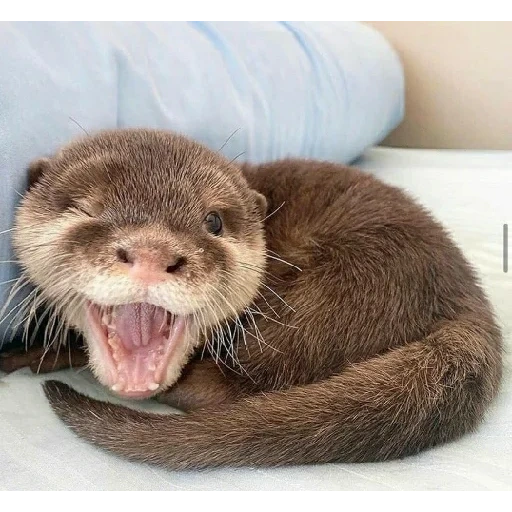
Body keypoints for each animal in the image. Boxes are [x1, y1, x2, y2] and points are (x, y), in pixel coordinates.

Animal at [2, 130, 502, 470]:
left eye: (214, 221)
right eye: (85, 209)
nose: (151, 254)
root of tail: (469, 302)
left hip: (337, 294)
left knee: (239, 383)